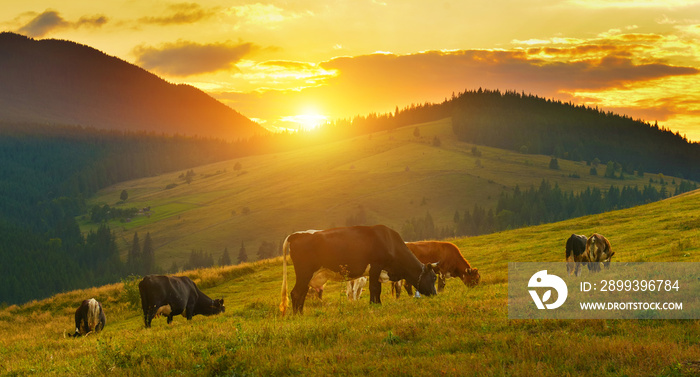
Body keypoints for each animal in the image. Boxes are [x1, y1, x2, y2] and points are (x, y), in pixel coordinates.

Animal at [278, 223, 438, 314]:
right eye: (433, 277)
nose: (435, 294)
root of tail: (297, 234)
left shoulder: (378, 271)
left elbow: (377, 289)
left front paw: (378, 304)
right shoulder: (375, 266)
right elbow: (374, 288)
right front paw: (374, 306)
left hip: (307, 276)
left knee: (301, 292)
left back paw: (300, 312)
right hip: (304, 272)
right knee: (296, 293)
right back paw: (297, 315)